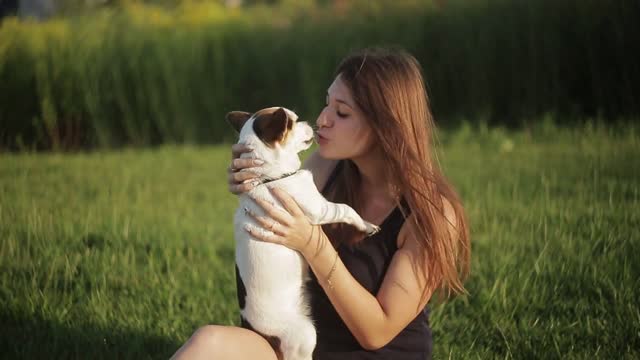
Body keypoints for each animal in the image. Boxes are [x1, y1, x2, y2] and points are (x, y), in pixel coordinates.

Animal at [228, 105, 380, 358]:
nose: (313, 123)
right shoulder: (319, 208)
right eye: (293, 122)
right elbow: (346, 209)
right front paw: (366, 225)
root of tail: (255, 329)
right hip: (304, 334)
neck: (268, 177)